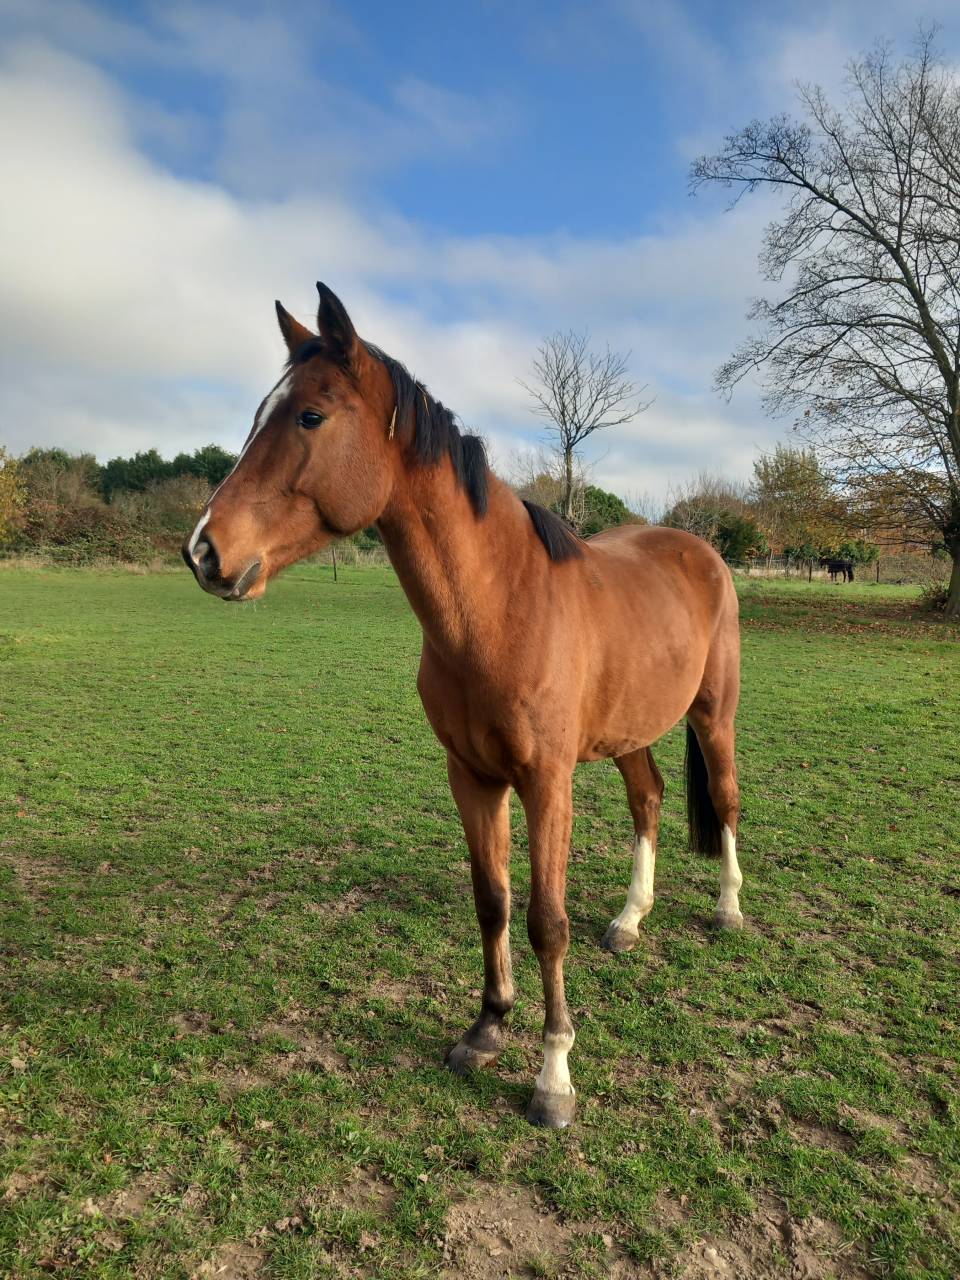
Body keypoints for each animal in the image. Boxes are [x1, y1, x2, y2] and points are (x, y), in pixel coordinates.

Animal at [182, 283, 744, 1128]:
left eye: (309, 416)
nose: (204, 551)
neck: (500, 608)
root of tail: (698, 549)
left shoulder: (547, 783)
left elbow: (547, 921)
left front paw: (553, 1078)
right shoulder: (472, 777)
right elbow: (493, 901)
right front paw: (486, 1028)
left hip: (714, 718)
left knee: (728, 800)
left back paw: (728, 911)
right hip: (630, 733)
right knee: (648, 800)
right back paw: (629, 920)